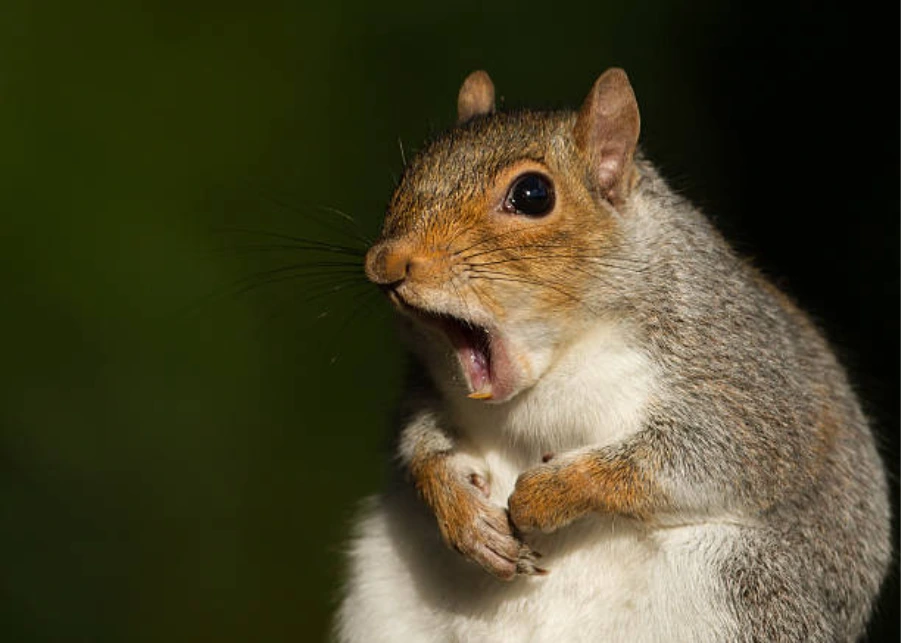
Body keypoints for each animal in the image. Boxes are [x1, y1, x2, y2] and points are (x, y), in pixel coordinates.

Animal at [334, 68, 891, 642]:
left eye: (532, 194)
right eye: (410, 171)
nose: (385, 262)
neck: (556, 364)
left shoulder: (743, 375)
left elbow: (708, 457)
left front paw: (548, 493)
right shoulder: (428, 384)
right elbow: (421, 440)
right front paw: (462, 511)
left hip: (747, 587)